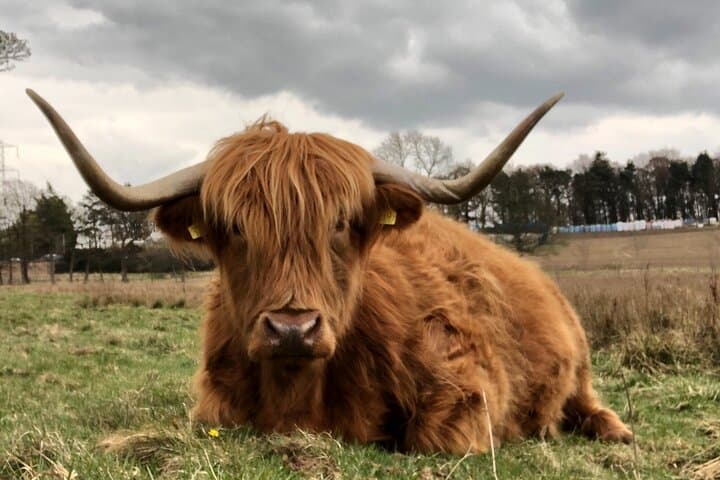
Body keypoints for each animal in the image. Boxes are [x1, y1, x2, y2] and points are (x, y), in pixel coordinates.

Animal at [28, 89, 632, 454]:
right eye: (236, 227)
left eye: (340, 223)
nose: (292, 329)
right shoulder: (215, 403)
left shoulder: (471, 390)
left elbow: (432, 438)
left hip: (579, 363)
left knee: (587, 403)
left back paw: (611, 432)